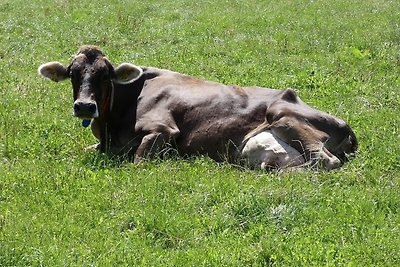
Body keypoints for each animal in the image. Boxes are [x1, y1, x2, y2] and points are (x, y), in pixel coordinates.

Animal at [39, 45, 358, 172]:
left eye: (105, 75)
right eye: (73, 73)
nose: (84, 106)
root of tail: (348, 127)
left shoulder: (163, 129)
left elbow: (139, 162)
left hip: (282, 113)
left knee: (326, 162)